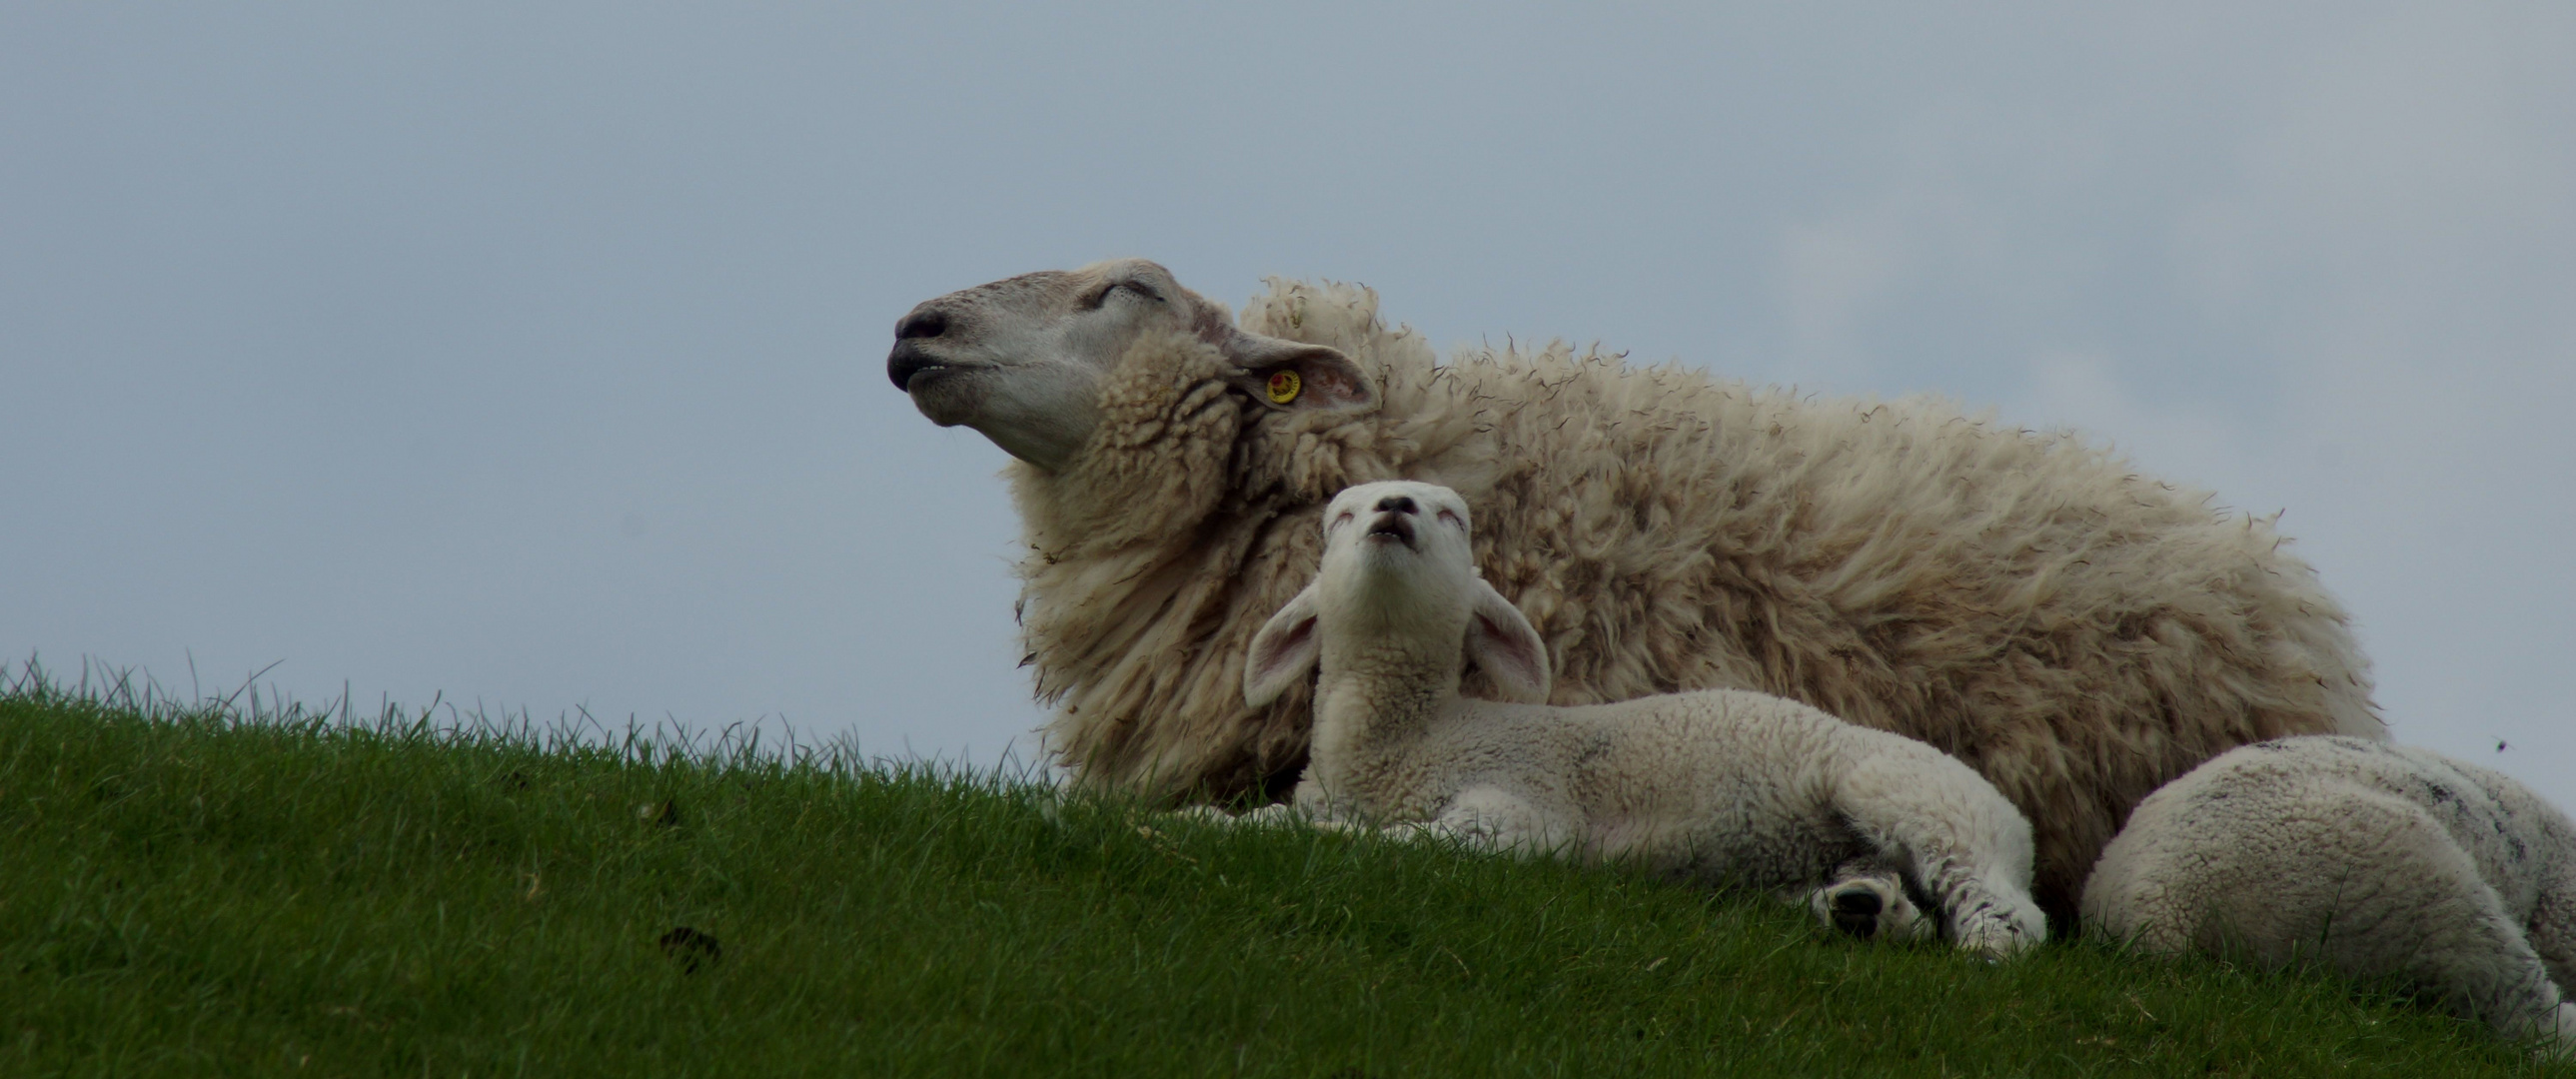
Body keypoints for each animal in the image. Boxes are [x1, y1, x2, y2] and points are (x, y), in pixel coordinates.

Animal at [1231, 487, 2050, 957]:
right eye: (1338, 516)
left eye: (1453, 516)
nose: (1391, 511)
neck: (1404, 740)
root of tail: (2017, 822)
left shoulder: (1521, 804)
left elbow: (1404, 841)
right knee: (1880, 890)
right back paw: (1863, 910)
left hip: (1914, 794)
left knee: (2003, 904)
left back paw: (1985, 940)